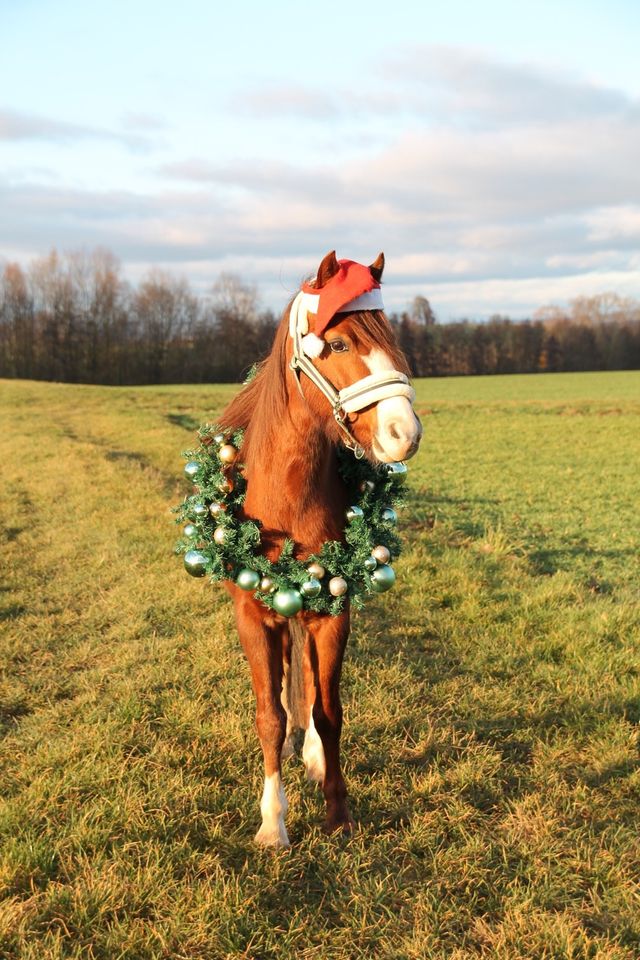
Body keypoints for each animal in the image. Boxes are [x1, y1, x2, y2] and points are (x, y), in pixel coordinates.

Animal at [218, 249, 422, 848]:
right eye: (338, 345)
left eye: (391, 337)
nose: (405, 432)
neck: (287, 495)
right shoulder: (252, 614)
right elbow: (268, 713)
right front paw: (273, 822)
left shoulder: (335, 609)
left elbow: (328, 711)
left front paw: (338, 812)